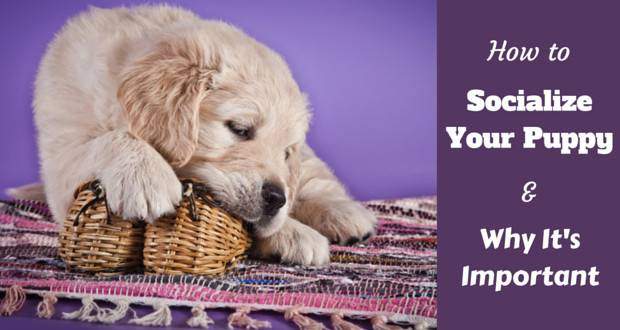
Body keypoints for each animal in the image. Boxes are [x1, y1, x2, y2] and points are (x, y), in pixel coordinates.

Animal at [27, 5, 378, 266]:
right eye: (239, 129)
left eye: (285, 152)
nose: (276, 198)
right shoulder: (62, 162)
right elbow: (104, 140)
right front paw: (146, 176)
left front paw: (291, 231)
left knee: (312, 176)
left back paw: (343, 213)